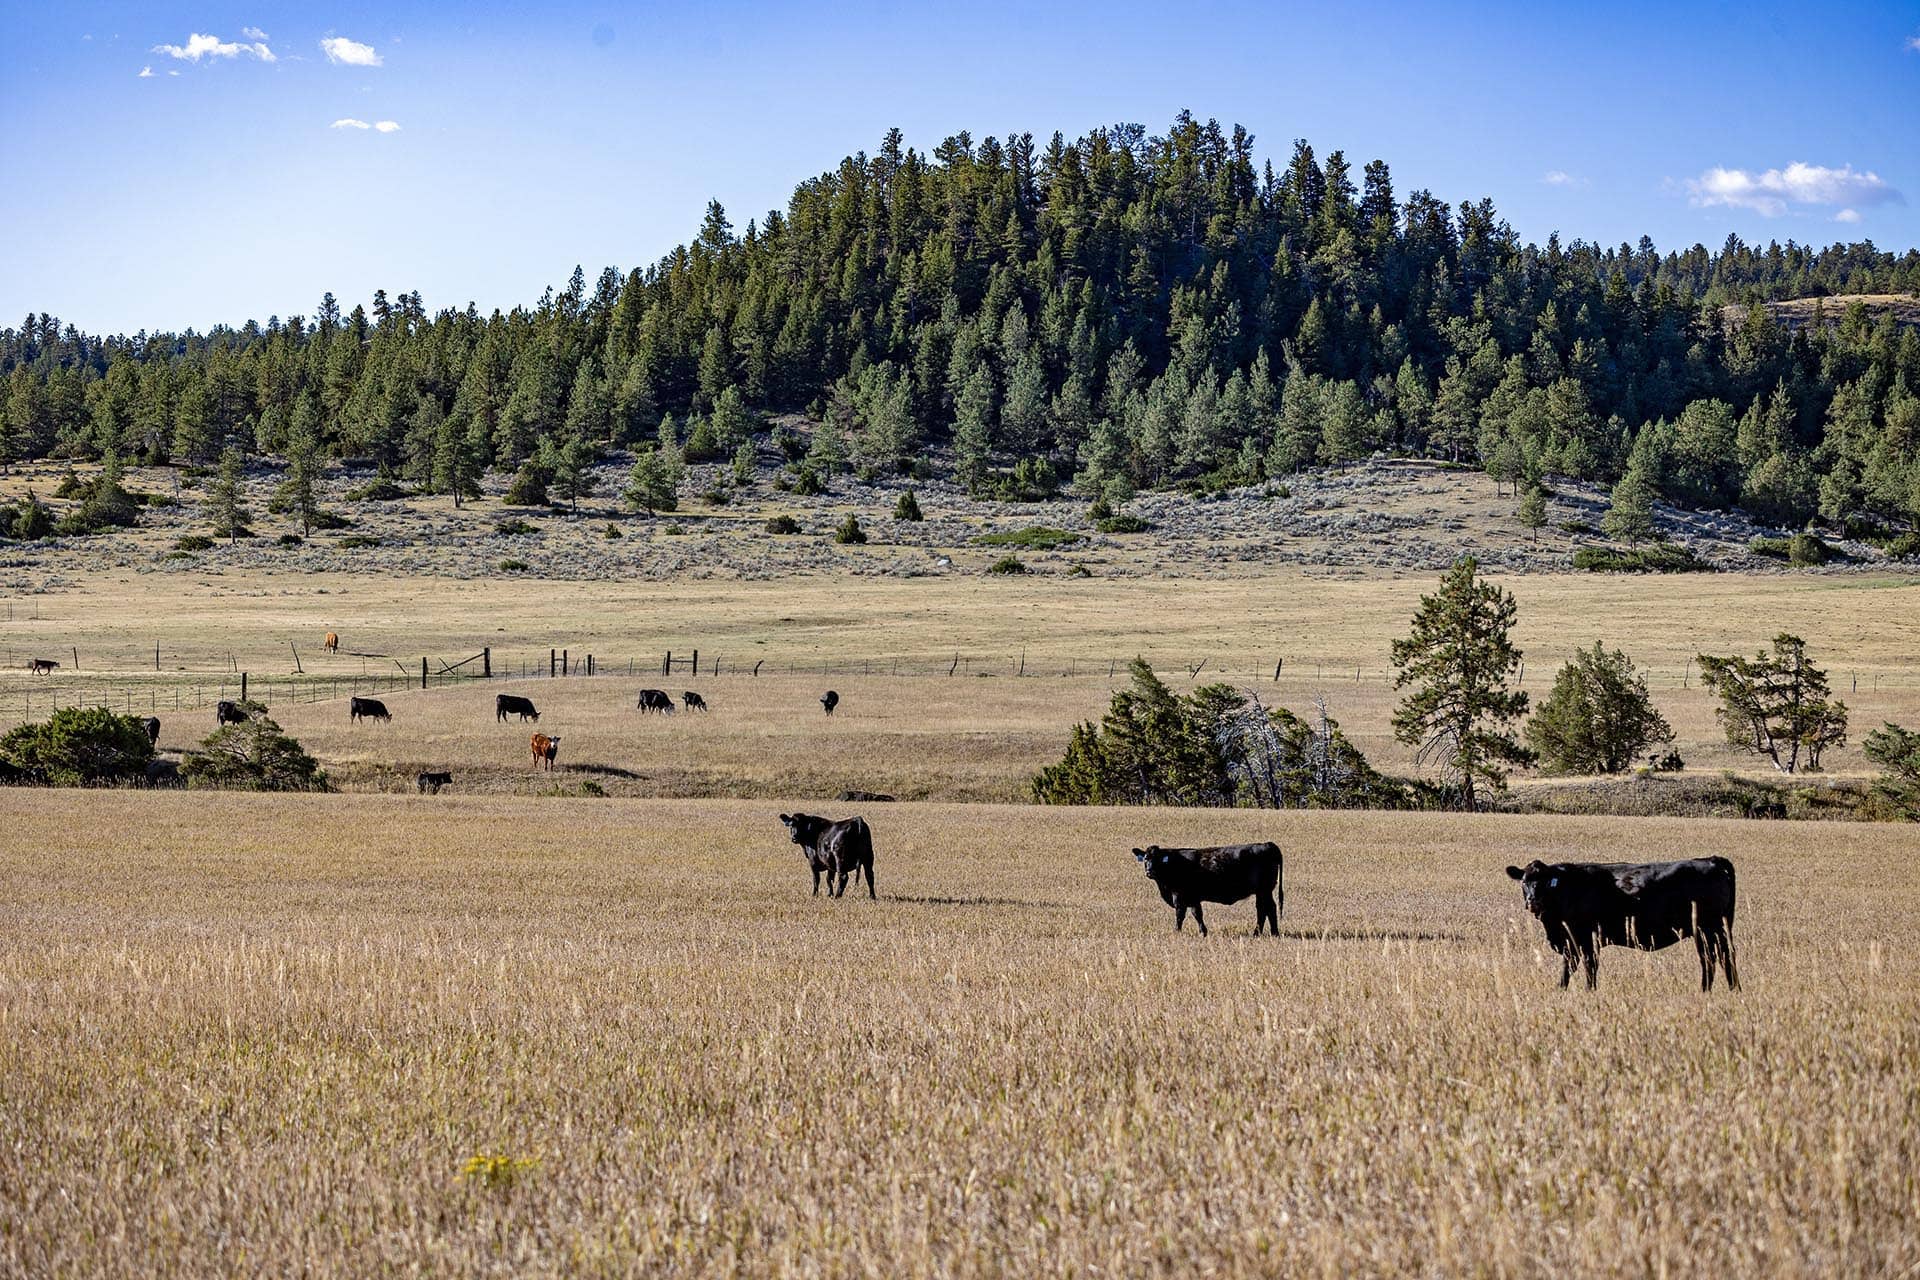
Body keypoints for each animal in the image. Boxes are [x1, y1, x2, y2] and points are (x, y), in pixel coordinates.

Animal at [1133, 843, 1284, 937]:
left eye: (1158, 860)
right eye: (1145, 858)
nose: (1149, 871)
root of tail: (1266, 844)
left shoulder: (1180, 896)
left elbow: (1182, 915)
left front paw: (1178, 931)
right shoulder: (1193, 898)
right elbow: (1197, 914)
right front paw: (1203, 932)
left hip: (1264, 890)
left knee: (1269, 908)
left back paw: (1272, 933)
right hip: (1262, 891)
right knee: (1263, 909)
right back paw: (1261, 933)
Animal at [1506, 858, 1739, 992]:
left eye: (1545, 882)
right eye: (1524, 881)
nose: (1533, 901)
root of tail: (1711, 860)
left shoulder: (1585, 940)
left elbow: (1587, 968)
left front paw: (1588, 991)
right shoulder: (1572, 942)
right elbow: (1569, 968)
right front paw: (1561, 990)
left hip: (1711, 928)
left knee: (1722, 957)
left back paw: (1731, 989)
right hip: (1707, 931)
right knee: (1710, 959)